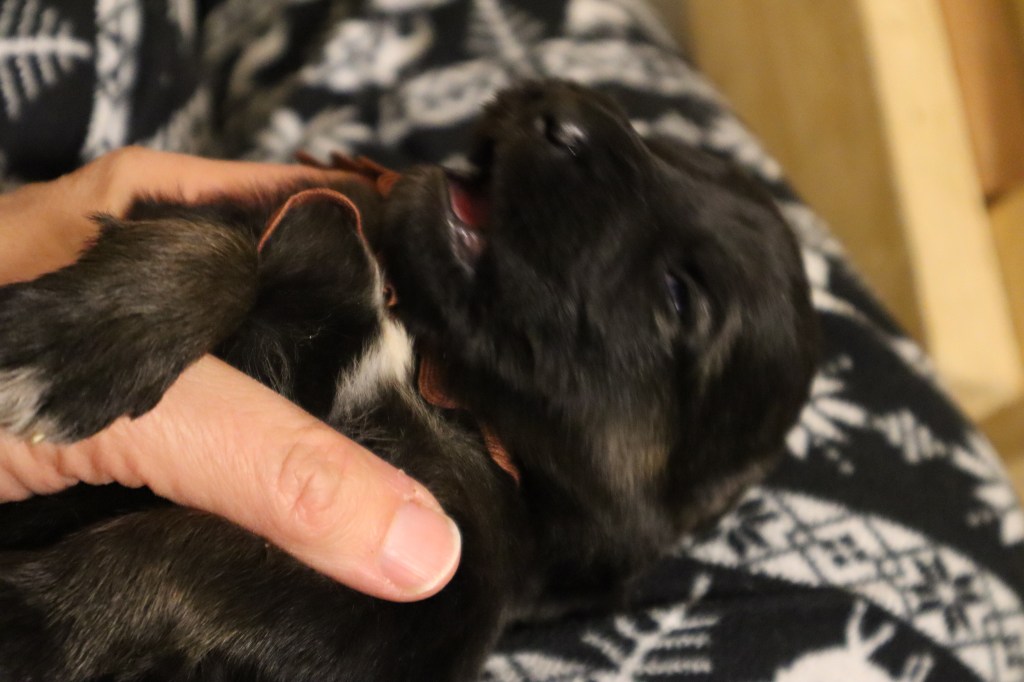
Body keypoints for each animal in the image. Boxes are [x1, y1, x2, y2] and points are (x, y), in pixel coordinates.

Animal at [0, 81, 817, 681]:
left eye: (679, 296)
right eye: (662, 147)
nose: (561, 112)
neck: (427, 357)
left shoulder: (421, 588)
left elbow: (195, 567)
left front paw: (35, 621)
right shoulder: (298, 213)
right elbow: (215, 244)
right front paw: (69, 344)